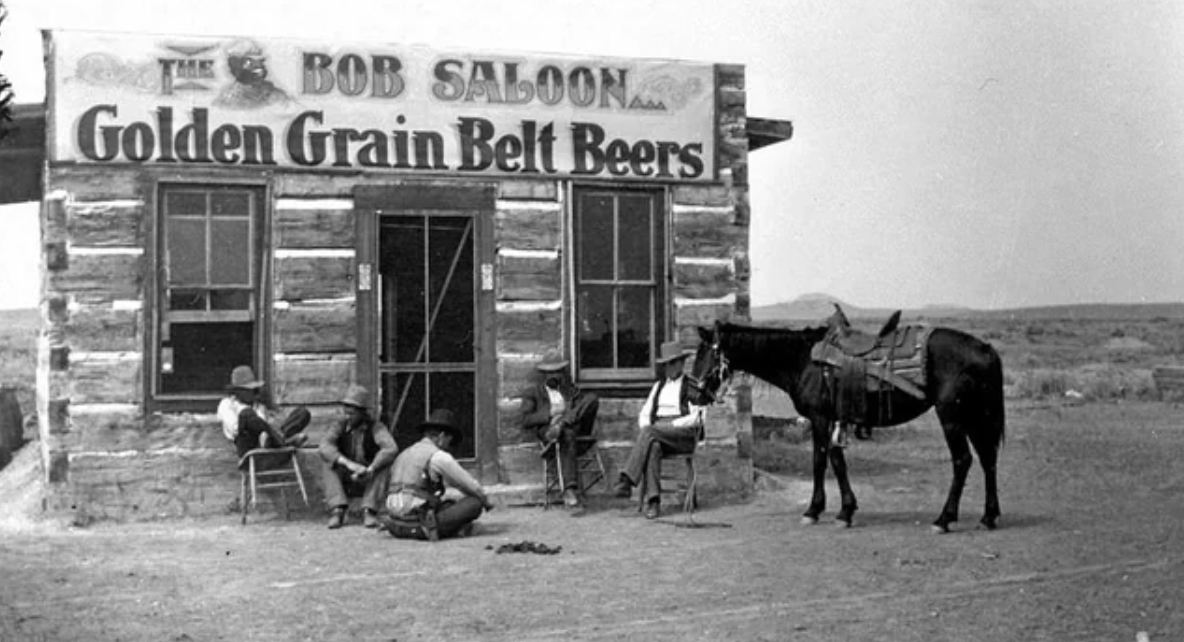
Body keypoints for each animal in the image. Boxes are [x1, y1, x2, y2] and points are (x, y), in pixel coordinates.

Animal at [691, 319, 1004, 535]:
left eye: (704, 354)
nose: (694, 395)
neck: (802, 360)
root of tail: (986, 350)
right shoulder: (829, 420)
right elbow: (831, 461)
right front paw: (837, 510)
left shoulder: (820, 418)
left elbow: (824, 461)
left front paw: (823, 511)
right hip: (975, 415)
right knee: (988, 459)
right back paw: (988, 517)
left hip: (952, 415)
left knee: (963, 460)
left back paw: (944, 519)